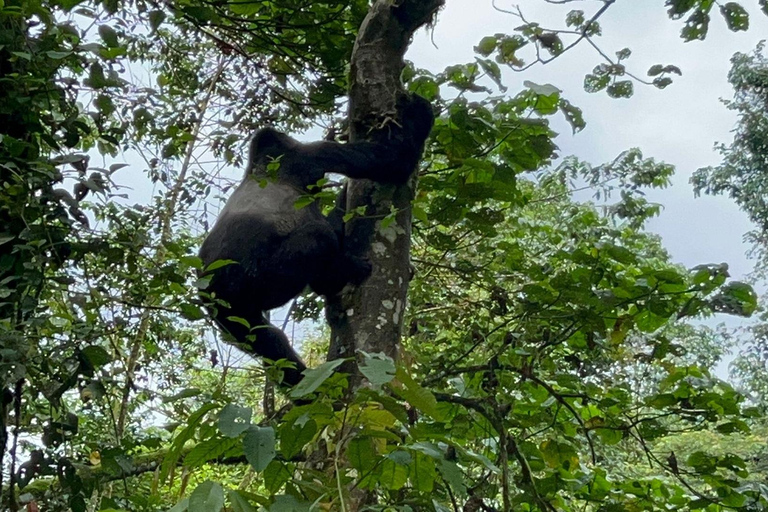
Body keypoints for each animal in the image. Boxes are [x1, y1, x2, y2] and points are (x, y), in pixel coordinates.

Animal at [201, 95, 436, 384]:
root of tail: (209, 286)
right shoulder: (312, 154)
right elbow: (393, 162)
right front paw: (419, 112)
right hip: (254, 281)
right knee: (318, 239)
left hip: (230, 312)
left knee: (266, 340)